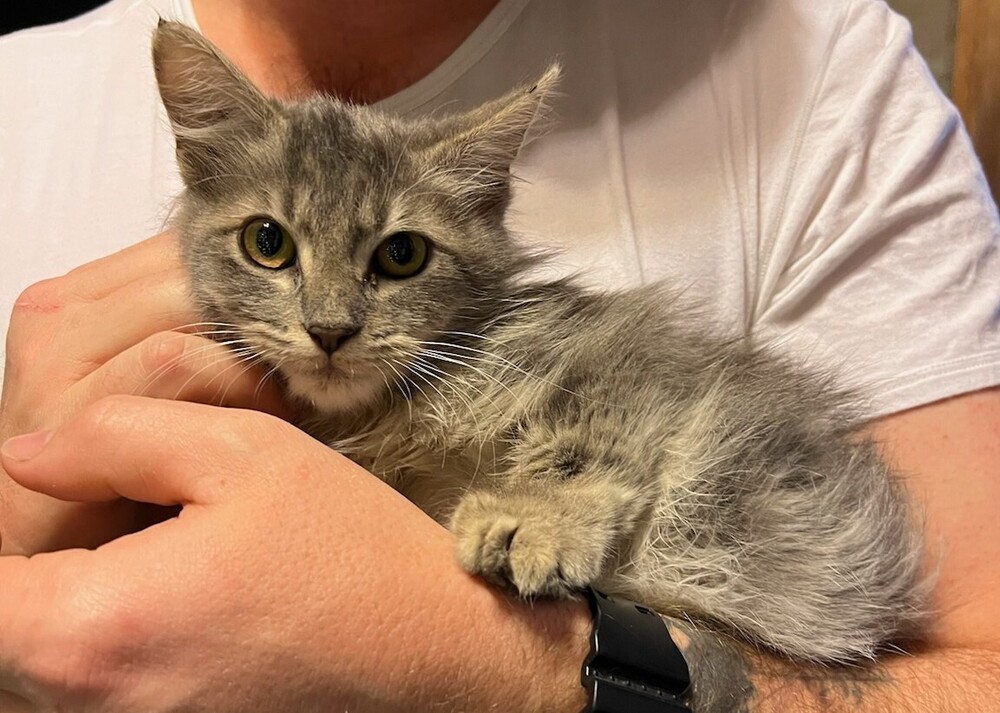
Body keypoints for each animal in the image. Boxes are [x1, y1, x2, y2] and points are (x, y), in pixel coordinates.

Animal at [152, 20, 924, 660]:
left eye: (402, 254)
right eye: (268, 243)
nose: (331, 330)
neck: (389, 410)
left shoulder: (637, 355)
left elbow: (589, 439)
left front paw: (529, 517)